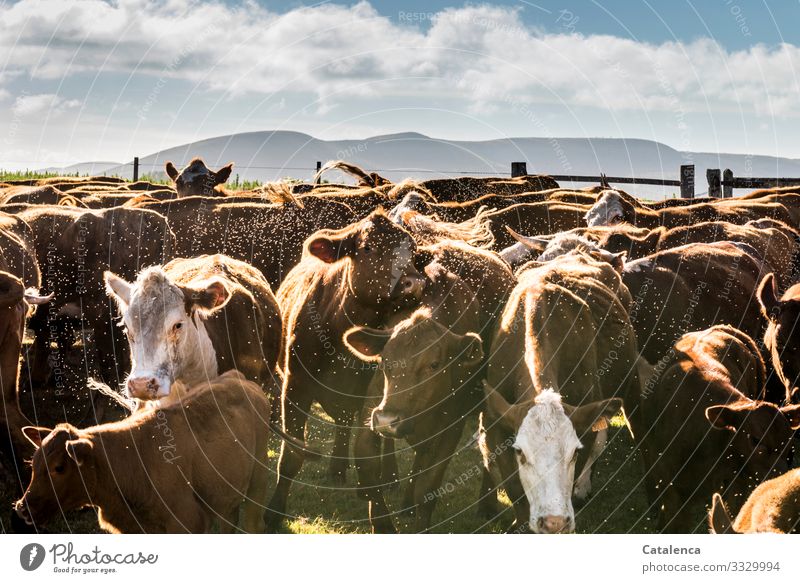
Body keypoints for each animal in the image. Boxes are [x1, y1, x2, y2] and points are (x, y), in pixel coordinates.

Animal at [14, 372, 270, 532]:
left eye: (59, 467)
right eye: (34, 465)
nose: (23, 509)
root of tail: (238, 378)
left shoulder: (188, 523)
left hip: (258, 482)